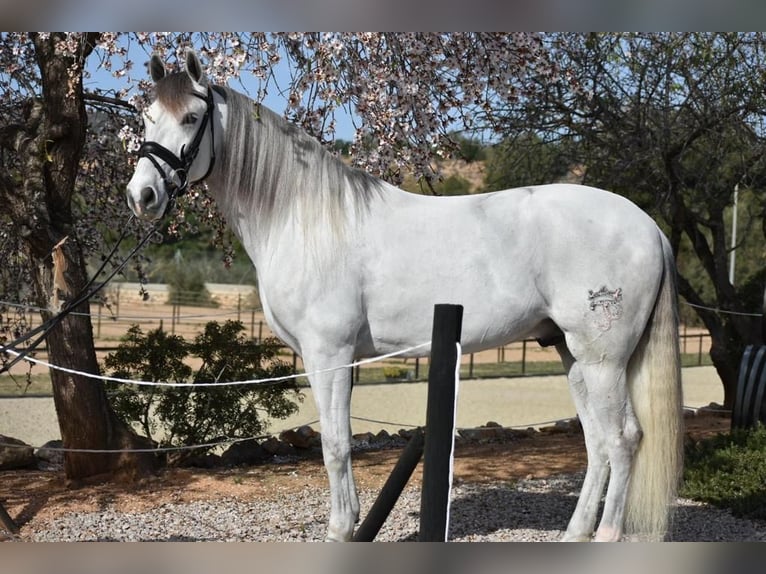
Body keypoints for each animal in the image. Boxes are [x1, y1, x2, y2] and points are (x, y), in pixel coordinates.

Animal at [124, 50, 684, 544]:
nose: (141, 196)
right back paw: (574, 533)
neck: (304, 218)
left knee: (623, 439)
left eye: (192, 117)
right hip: (571, 353)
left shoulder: (329, 353)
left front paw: (340, 531)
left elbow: (334, 445)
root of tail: (649, 226)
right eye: (146, 117)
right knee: (597, 443)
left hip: (602, 358)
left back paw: (606, 535)